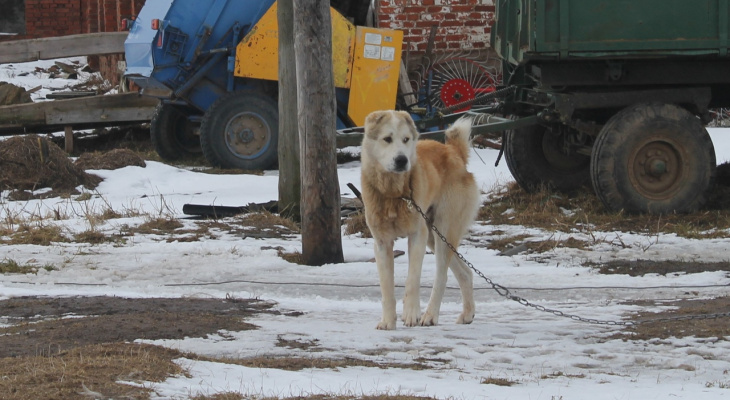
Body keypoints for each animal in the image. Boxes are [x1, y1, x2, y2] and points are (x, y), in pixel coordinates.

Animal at [356, 111, 478, 330]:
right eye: (387, 139)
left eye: (406, 139)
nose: (402, 160)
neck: (394, 194)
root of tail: (453, 151)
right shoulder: (381, 243)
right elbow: (386, 287)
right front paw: (388, 321)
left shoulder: (417, 237)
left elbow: (412, 280)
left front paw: (411, 314)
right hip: (433, 236)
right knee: (465, 273)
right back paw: (467, 314)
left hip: (442, 231)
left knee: (442, 276)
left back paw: (430, 315)